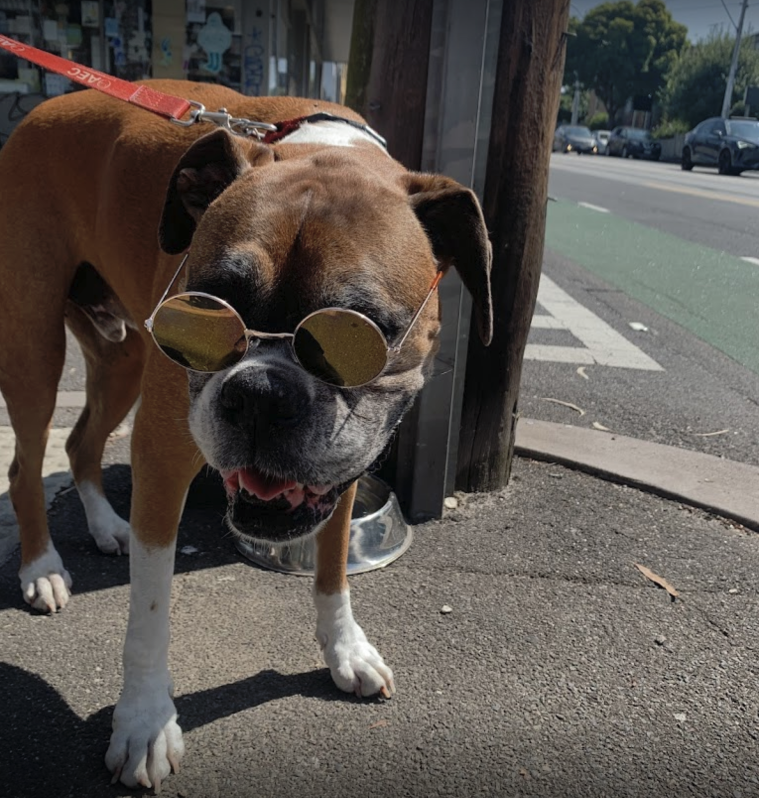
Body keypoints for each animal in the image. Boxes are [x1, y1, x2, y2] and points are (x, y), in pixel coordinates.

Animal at [0, 78, 492, 792]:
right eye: (206, 310)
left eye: (360, 335)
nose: (260, 393)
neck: (321, 149)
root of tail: (44, 105)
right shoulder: (161, 457)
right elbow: (150, 612)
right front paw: (144, 721)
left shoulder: (342, 467)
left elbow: (333, 567)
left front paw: (345, 648)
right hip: (35, 345)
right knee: (27, 460)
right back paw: (41, 567)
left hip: (124, 359)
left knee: (80, 442)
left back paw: (104, 525)